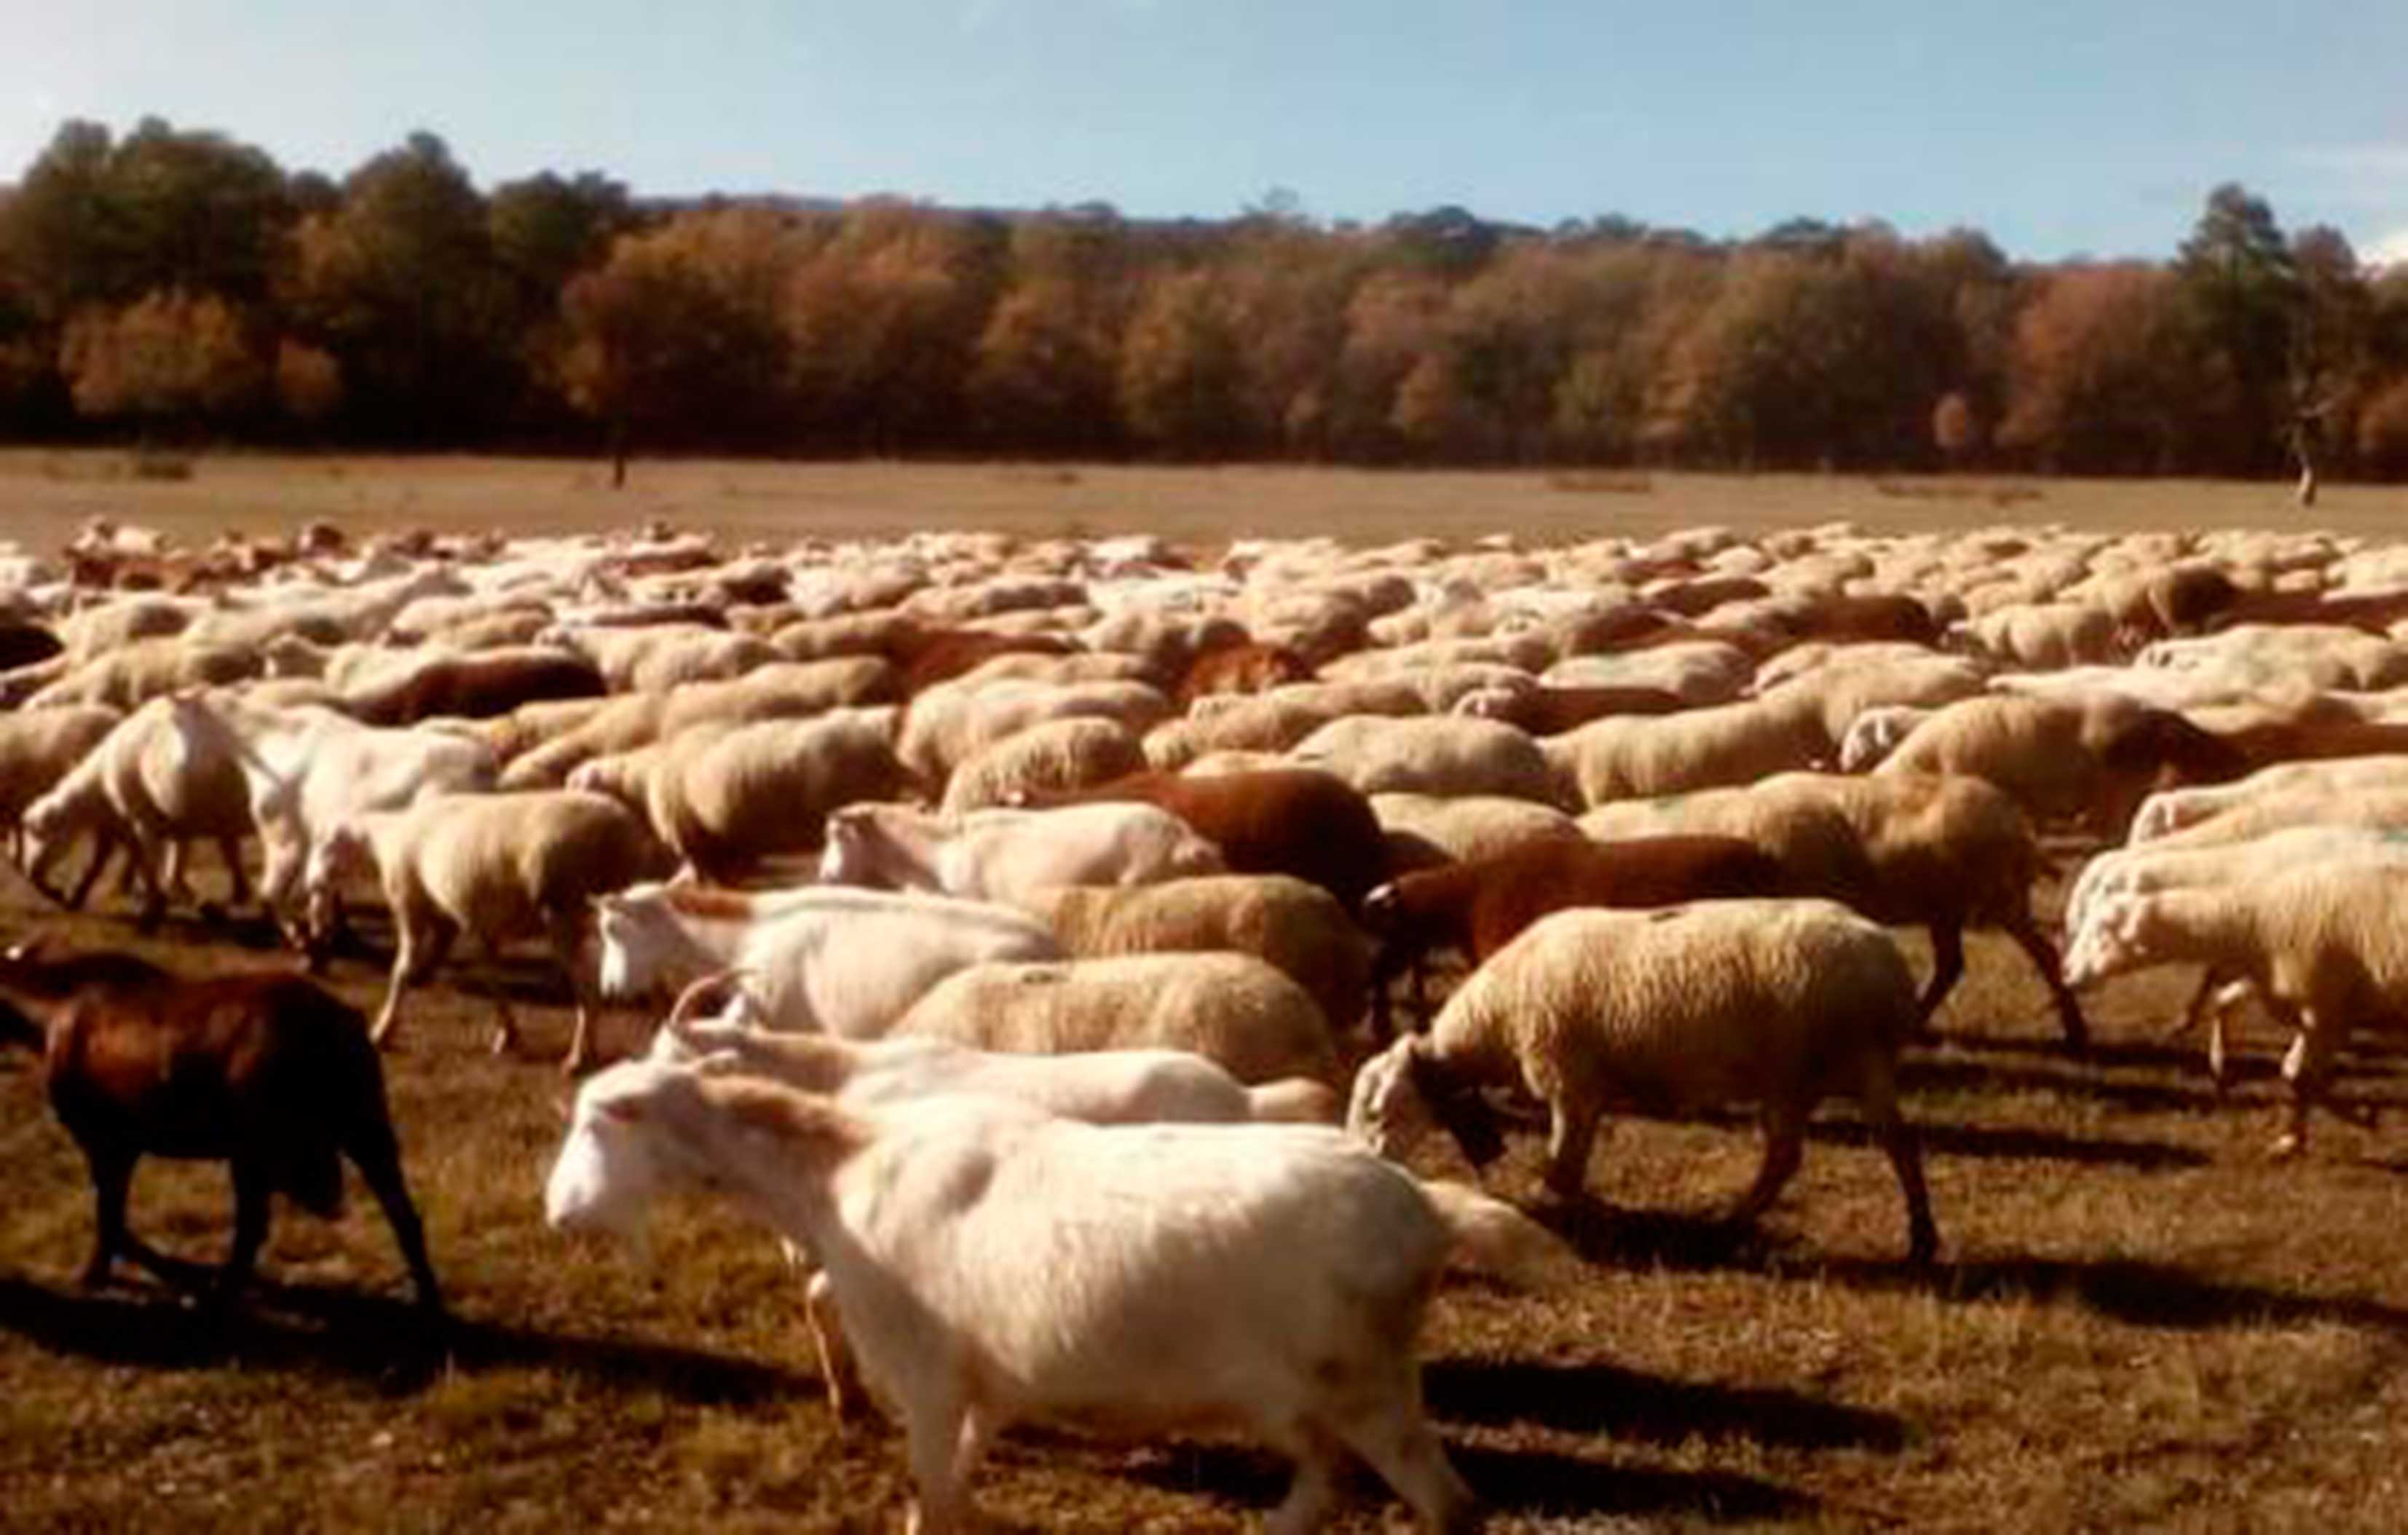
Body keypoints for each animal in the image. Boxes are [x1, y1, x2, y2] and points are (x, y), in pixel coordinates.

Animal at [0, 939, 443, 1311]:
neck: (44, 1018)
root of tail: (349, 1026)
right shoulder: (126, 1145)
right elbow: (116, 1217)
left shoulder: (104, 1141)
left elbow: (110, 1217)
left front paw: (97, 1273)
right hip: (366, 1131)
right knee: (404, 1214)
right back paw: (428, 1299)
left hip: (259, 1151)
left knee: (253, 1228)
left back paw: (221, 1293)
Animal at [312, 785, 669, 1070]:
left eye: (327, 845)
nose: (313, 883)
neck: (386, 841)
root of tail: (620, 830)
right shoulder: (466, 922)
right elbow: (489, 974)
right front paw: (507, 1033)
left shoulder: (410, 903)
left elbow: (401, 971)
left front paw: (382, 1031)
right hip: (624, 913)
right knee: (653, 981)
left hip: (562, 909)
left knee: (589, 992)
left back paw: (578, 1058)